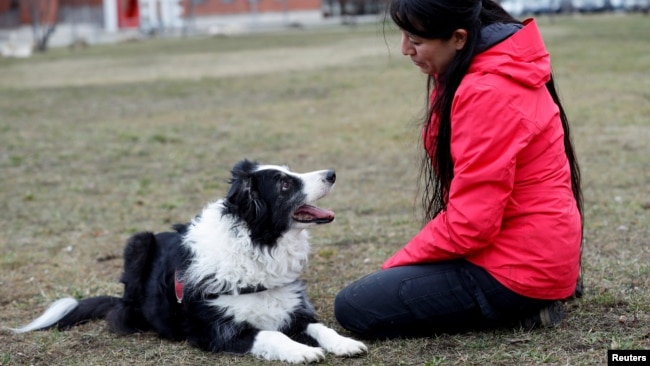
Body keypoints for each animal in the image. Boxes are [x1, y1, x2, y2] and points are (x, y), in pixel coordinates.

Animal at [12, 159, 364, 364]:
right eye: (285, 184)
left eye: (290, 172)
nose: (332, 174)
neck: (257, 245)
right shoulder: (216, 331)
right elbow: (271, 335)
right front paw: (302, 350)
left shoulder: (292, 307)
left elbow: (320, 326)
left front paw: (345, 343)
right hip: (138, 241)